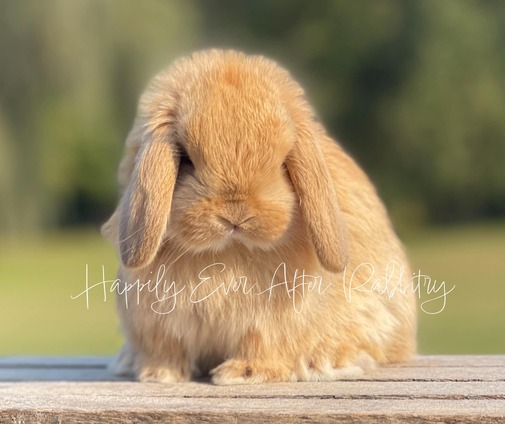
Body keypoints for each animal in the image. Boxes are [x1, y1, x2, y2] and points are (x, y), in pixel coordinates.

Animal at [100, 48, 416, 384]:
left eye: (281, 164)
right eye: (185, 158)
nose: (236, 214)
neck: (227, 254)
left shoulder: (271, 324)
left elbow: (261, 344)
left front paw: (243, 373)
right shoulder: (158, 325)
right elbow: (167, 349)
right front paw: (160, 374)